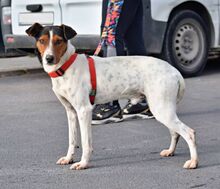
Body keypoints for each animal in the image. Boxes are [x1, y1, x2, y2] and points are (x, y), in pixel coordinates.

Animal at [25, 23, 198, 170]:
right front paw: (69, 158)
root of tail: (174, 70)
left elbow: (85, 143)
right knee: (175, 132)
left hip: (161, 109)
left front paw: (83, 163)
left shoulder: (84, 111)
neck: (65, 67)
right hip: (164, 109)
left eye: (59, 41)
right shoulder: (71, 112)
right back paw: (170, 151)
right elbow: (72, 140)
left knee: (188, 132)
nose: (49, 58)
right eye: (42, 41)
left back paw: (193, 162)